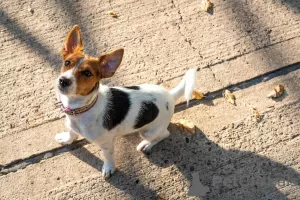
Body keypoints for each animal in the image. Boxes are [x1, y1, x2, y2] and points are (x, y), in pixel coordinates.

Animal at [55, 25, 197, 178]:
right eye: (67, 63)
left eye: (87, 73)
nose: (63, 80)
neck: (81, 108)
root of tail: (170, 95)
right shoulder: (72, 125)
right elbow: (71, 132)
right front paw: (66, 139)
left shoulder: (106, 143)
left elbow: (108, 157)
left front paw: (109, 168)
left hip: (149, 131)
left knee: (165, 134)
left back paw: (147, 144)